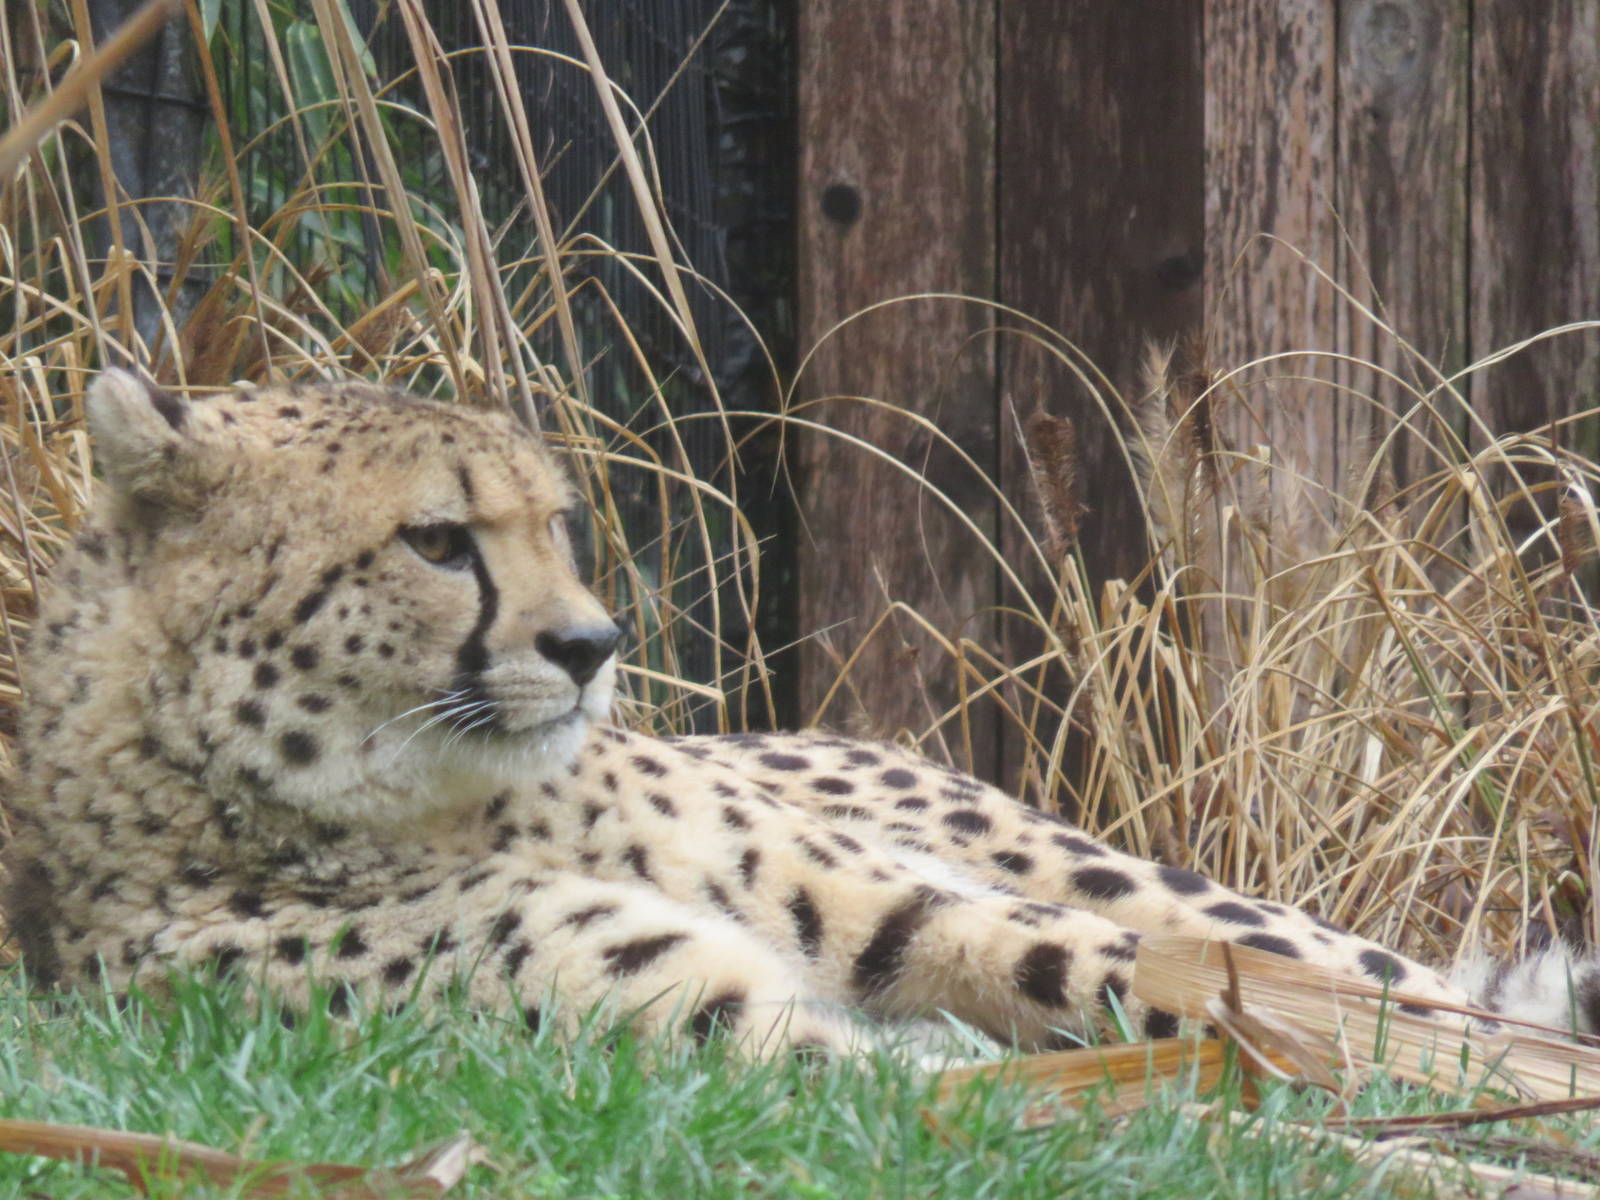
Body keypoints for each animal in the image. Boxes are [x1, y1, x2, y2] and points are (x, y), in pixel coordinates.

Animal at [4, 369, 1594, 1056]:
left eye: (555, 523)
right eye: (439, 540)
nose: (591, 645)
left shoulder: (905, 909)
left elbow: (1108, 967)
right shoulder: (716, 1038)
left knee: (1324, 954)